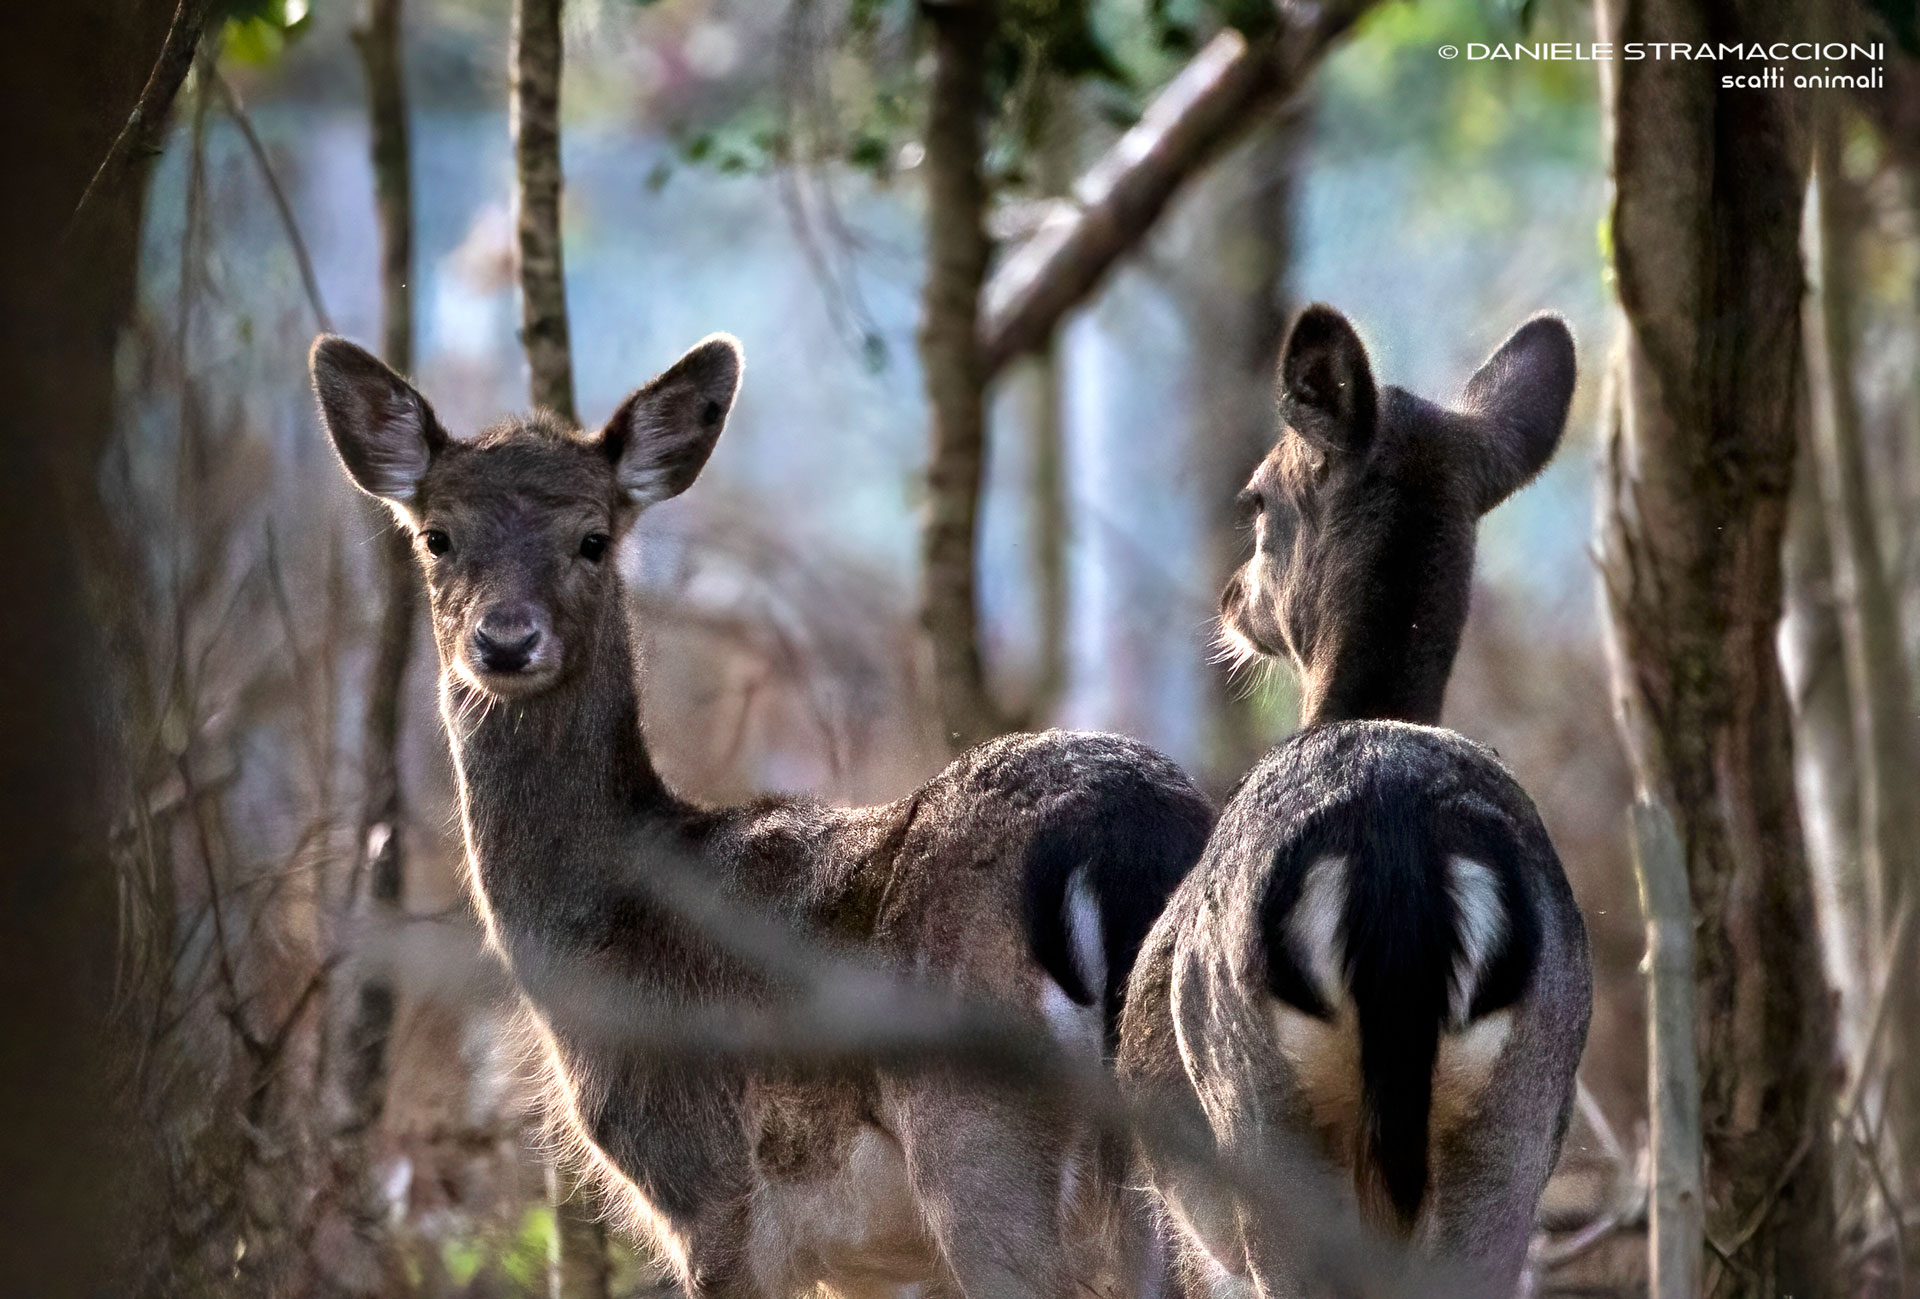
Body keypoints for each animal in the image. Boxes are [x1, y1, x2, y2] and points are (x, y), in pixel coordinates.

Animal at [309, 332, 1216, 1299]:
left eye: (593, 538)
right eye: (437, 536)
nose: (507, 640)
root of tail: (1120, 844)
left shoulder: (710, 1190)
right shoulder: (868, 1263)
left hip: (980, 1134)